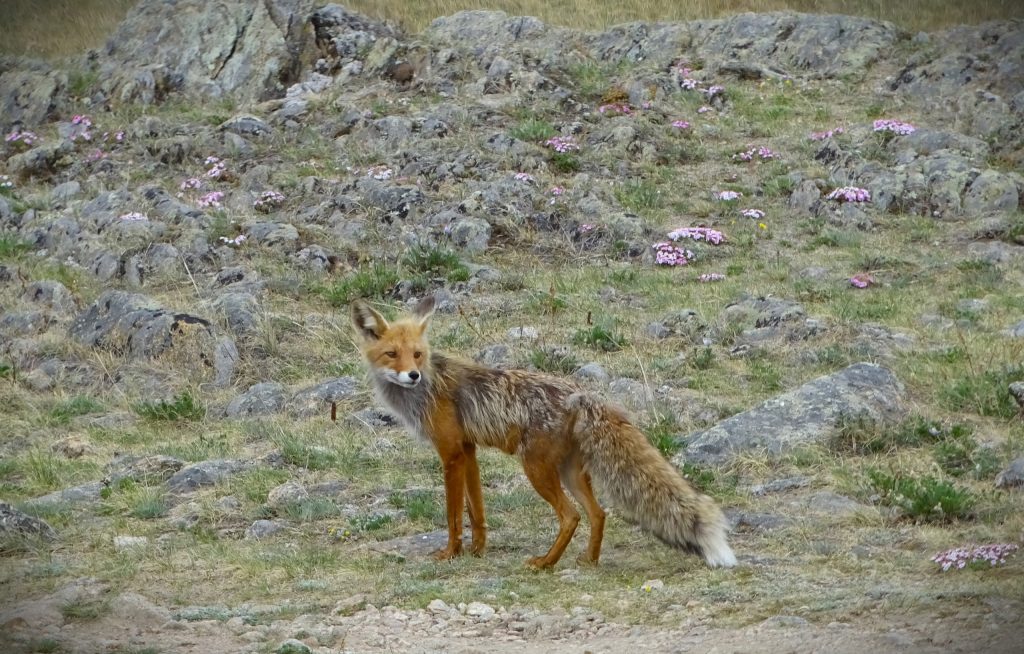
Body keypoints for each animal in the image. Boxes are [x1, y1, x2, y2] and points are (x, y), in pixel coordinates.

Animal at [350, 295, 736, 569]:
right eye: (392, 354)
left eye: (417, 355)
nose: (413, 375)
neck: (429, 388)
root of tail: (581, 394)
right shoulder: (469, 450)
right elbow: (477, 511)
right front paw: (478, 550)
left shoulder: (451, 453)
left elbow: (454, 515)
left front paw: (451, 554)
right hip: (569, 472)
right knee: (598, 513)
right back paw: (588, 561)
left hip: (536, 469)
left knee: (571, 516)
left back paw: (545, 563)